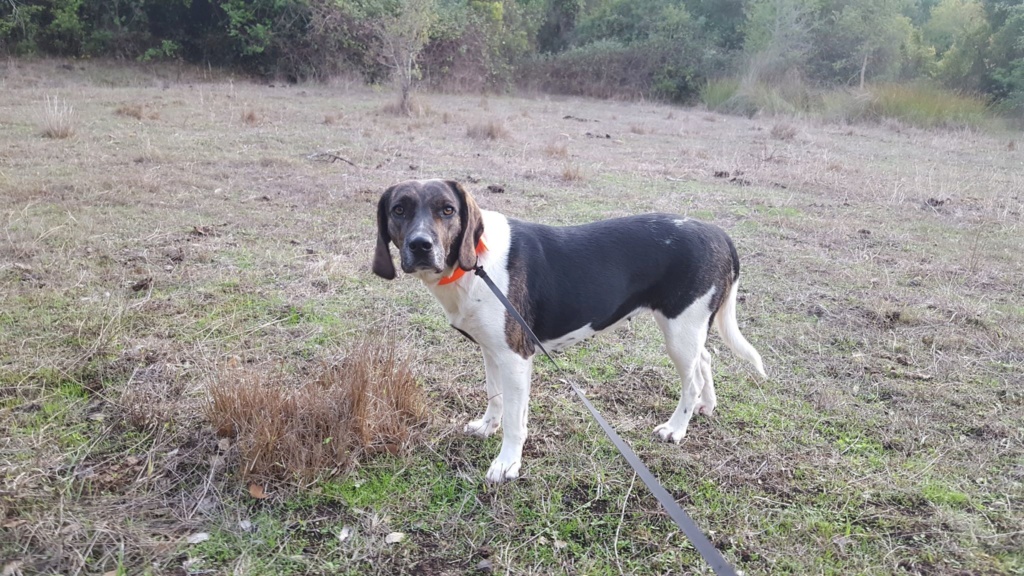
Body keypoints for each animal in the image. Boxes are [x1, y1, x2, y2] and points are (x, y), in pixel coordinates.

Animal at [372, 178, 765, 479]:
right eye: (399, 210)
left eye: (447, 210)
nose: (421, 246)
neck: (474, 263)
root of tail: (718, 233)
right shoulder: (491, 351)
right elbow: (494, 397)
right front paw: (487, 427)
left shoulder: (516, 357)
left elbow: (515, 419)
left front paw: (507, 464)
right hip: (688, 327)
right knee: (706, 360)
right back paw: (705, 405)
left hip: (679, 330)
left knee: (693, 378)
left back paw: (676, 428)